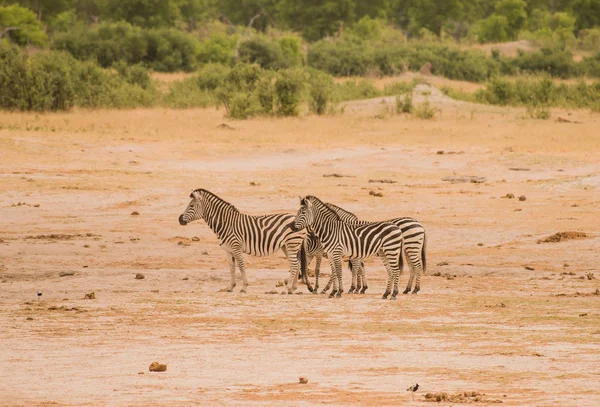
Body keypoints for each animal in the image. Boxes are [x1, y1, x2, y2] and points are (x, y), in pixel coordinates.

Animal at [178, 190, 310, 294]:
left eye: (191, 206)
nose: (179, 219)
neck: (226, 223)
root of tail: (296, 219)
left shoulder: (236, 247)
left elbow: (241, 266)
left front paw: (244, 287)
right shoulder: (228, 250)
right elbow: (231, 268)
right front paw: (230, 287)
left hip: (292, 244)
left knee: (294, 264)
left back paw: (286, 289)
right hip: (286, 246)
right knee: (297, 264)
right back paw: (292, 288)